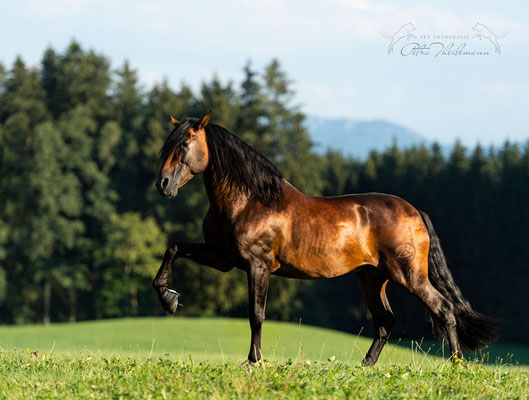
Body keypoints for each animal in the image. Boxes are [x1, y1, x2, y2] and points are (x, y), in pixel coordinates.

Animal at [151, 112, 498, 366]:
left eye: (184, 145)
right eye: (167, 146)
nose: (163, 184)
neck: (249, 201)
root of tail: (414, 211)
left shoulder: (257, 265)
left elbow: (256, 315)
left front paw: (253, 361)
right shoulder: (222, 257)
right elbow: (174, 248)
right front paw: (169, 298)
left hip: (408, 275)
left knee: (444, 309)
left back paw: (456, 364)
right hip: (371, 277)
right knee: (385, 321)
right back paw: (365, 366)